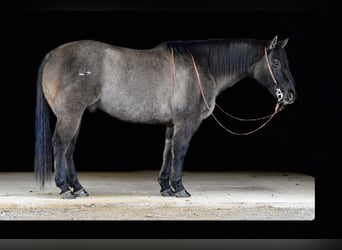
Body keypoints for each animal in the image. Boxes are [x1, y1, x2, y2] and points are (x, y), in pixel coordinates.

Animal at [35, 35, 296, 199]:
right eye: (275, 62)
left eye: (285, 61)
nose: (291, 95)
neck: (201, 66)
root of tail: (51, 55)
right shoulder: (186, 122)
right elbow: (179, 152)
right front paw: (179, 188)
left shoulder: (172, 124)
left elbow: (167, 152)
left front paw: (165, 187)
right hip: (70, 114)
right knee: (61, 144)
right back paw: (65, 189)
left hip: (76, 116)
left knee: (69, 148)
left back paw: (78, 188)